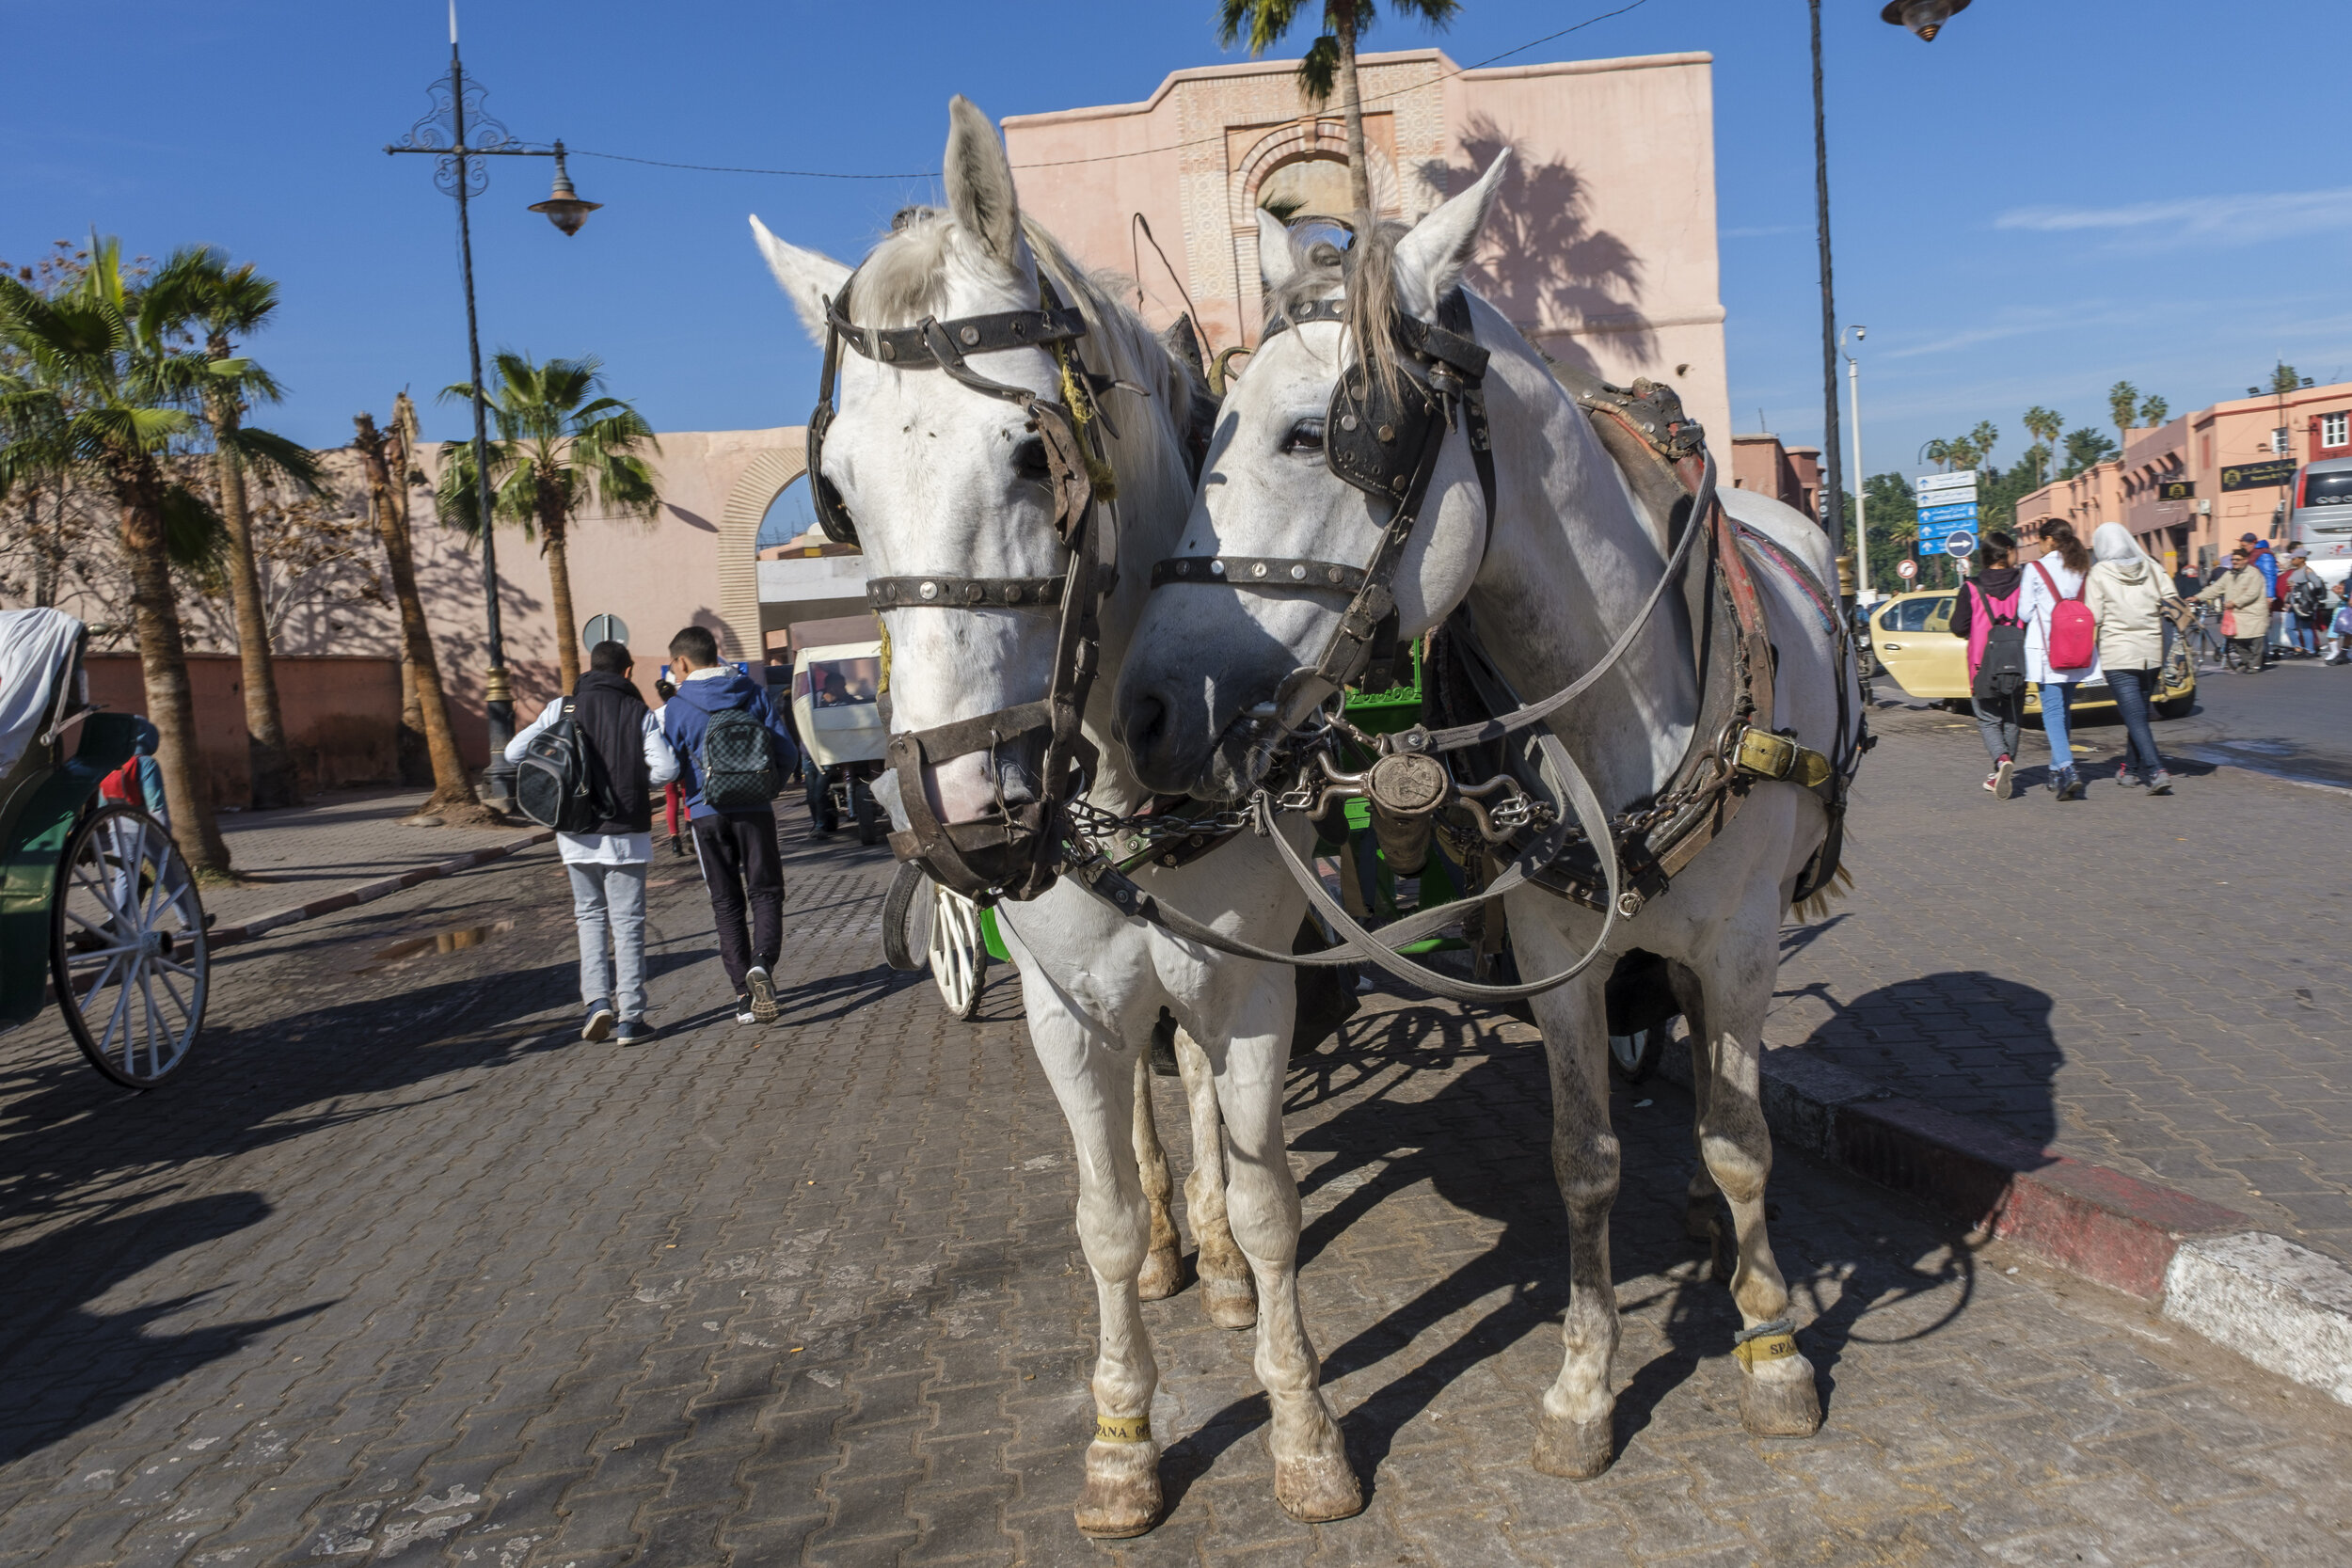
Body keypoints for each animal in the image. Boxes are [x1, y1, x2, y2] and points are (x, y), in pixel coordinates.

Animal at [749, 98, 1363, 1535]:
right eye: (839, 494)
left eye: (1035, 451)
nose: (957, 805)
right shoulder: (1062, 1000)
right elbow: (1099, 1215)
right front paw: (1123, 1435)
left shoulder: (1252, 982)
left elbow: (1266, 1196)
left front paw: (1301, 1422)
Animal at [1113, 153, 1862, 1477]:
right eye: (1209, 437)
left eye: (1316, 434)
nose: (1149, 712)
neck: (1629, 701)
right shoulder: (1559, 948)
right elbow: (1584, 1158)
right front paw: (1584, 1383)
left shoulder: (1743, 945)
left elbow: (1740, 1136)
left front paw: (1772, 1346)